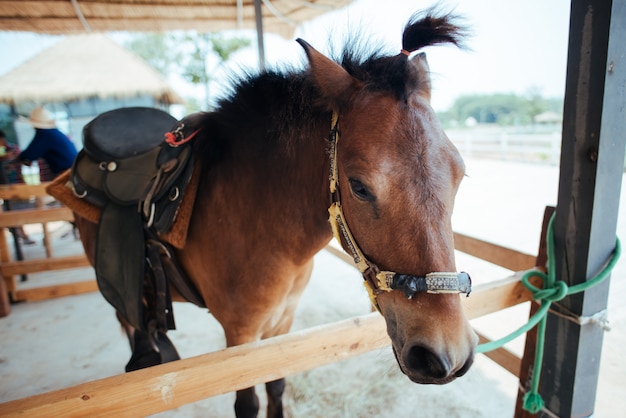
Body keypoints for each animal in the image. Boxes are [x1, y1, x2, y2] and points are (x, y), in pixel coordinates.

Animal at [72, 9, 472, 418]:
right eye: (359, 187)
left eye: (460, 175)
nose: (443, 354)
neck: (265, 229)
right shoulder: (241, 336)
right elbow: (247, 403)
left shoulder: (282, 324)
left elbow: (277, 385)